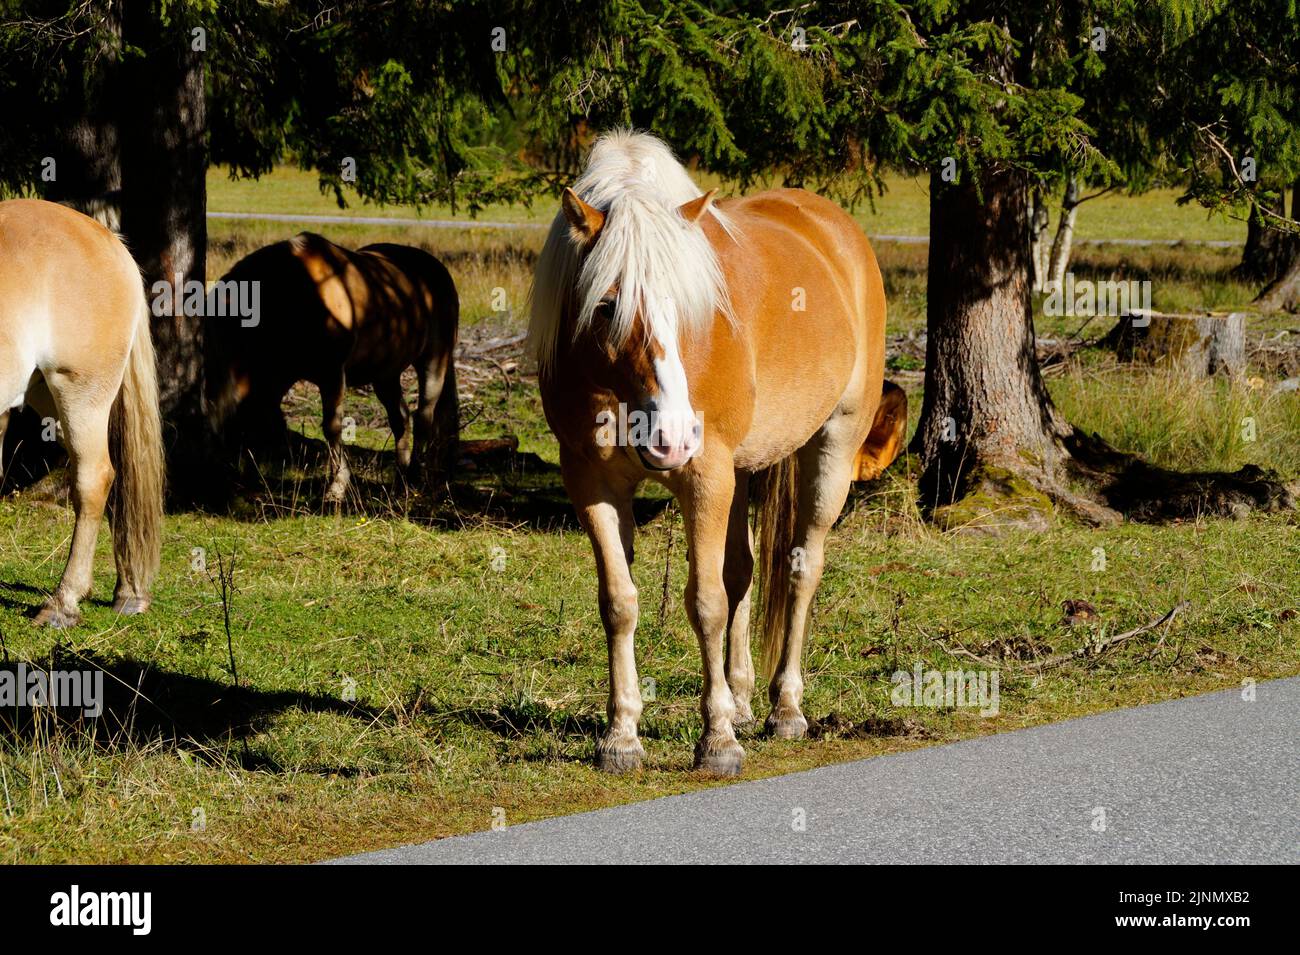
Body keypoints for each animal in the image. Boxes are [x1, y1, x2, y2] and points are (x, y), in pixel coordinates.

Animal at [0, 197, 165, 628]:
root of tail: (105, 237)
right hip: (51, 400)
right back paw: (129, 591)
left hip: (78, 393)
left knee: (94, 479)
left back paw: (63, 603)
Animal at [205, 235, 460, 504]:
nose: (221, 486)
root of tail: (438, 269)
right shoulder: (277, 378)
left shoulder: (332, 374)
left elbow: (332, 426)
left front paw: (337, 487)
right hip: (385, 374)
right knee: (401, 419)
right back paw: (401, 479)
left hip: (434, 360)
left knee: (424, 417)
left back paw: (415, 476)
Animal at [527, 130, 904, 779]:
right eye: (606, 305)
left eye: (688, 303)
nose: (671, 438)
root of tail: (833, 226)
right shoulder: (592, 482)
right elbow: (620, 603)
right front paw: (622, 737)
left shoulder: (704, 477)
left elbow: (705, 603)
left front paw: (717, 742)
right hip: (742, 472)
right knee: (743, 573)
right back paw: (745, 701)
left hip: (830, 448)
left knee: (801, 569)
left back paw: (784, 709)